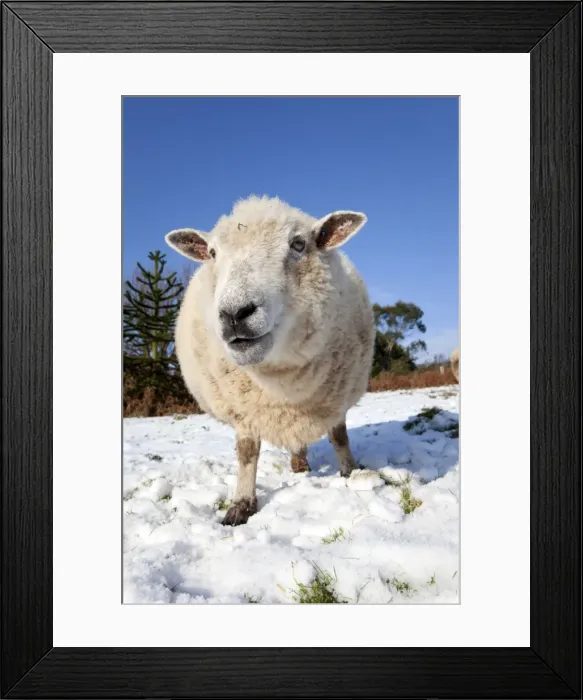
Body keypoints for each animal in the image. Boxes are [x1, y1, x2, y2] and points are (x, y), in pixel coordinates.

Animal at [165, 195, 375, 526]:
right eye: (212, 253)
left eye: (299, 244)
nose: (234, 314)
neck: (283, 382)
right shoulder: (243, 410)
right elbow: (247, 453)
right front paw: (241, 505)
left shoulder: (337, 397)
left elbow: (340, 437)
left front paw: (351, 472)